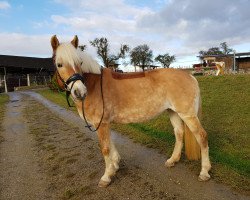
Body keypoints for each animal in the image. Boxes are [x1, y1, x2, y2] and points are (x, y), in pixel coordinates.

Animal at [50, 34, 211, 188]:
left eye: (80, 63)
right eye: (59, 64)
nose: (79, 92)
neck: (94, 84)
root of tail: (189, 75)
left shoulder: (100, 124)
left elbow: (105, 148)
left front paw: (106, 176)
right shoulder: (104, 123)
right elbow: (110, 144)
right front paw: (115, 166)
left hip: (187, 114)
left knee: (202, 136)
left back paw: (204, 172)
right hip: (173, 112)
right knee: (179, 133)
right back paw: (172, 160)